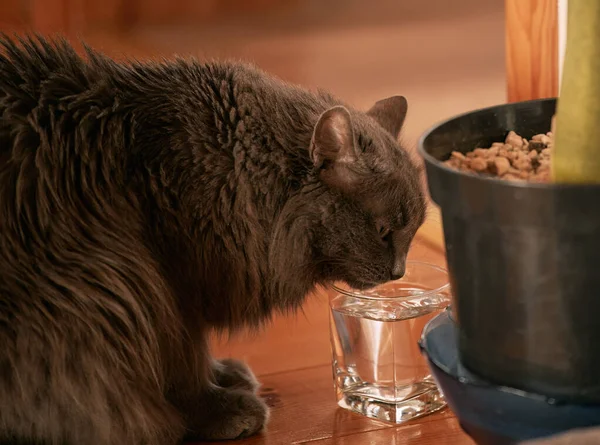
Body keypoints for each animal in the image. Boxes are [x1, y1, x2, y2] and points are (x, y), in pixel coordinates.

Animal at [0, 35, 426, 444]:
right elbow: (184, 360)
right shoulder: (171, 285)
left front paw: (224, 376)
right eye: (384, 231)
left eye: (414, 230)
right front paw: (217, 409)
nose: (398, 272)